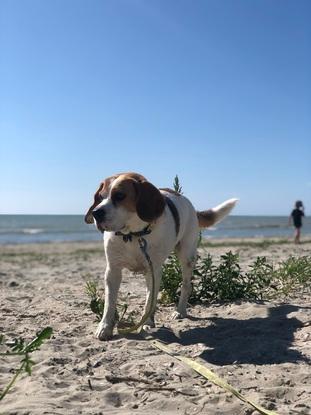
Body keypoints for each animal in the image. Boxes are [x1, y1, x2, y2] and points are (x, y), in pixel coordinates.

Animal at [84, 173, 238, 342]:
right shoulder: (113, 271)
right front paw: (105, 327)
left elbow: (149, 301)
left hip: (186, 257)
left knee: (186, 285)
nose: (96, 213)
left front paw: (147, 323)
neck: (134, 235)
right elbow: (109, 303)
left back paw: (180, 311)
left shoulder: (154, 271)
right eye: (100, 197)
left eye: (120, 195)